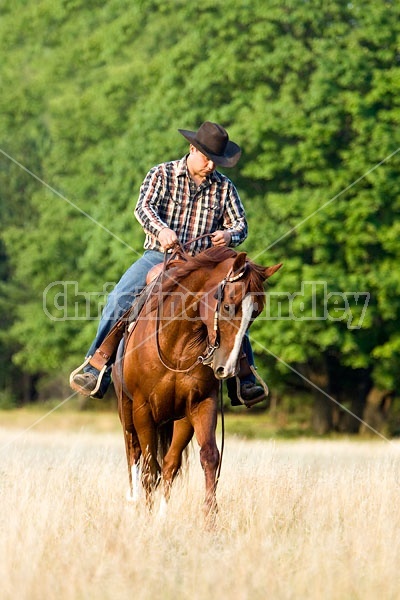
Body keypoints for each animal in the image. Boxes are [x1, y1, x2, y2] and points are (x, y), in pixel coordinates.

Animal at [112, 247, 282, 516]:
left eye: (255, 313)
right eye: (227, 306)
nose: (226, 367)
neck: (176, 345)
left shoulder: (199, 406)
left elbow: (206, 457)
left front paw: (207, 516)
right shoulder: (143, 410)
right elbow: (149, 469)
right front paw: (146, 519)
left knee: (169, 464)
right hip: (127, 413)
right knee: (135, 457)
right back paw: (133, 503)